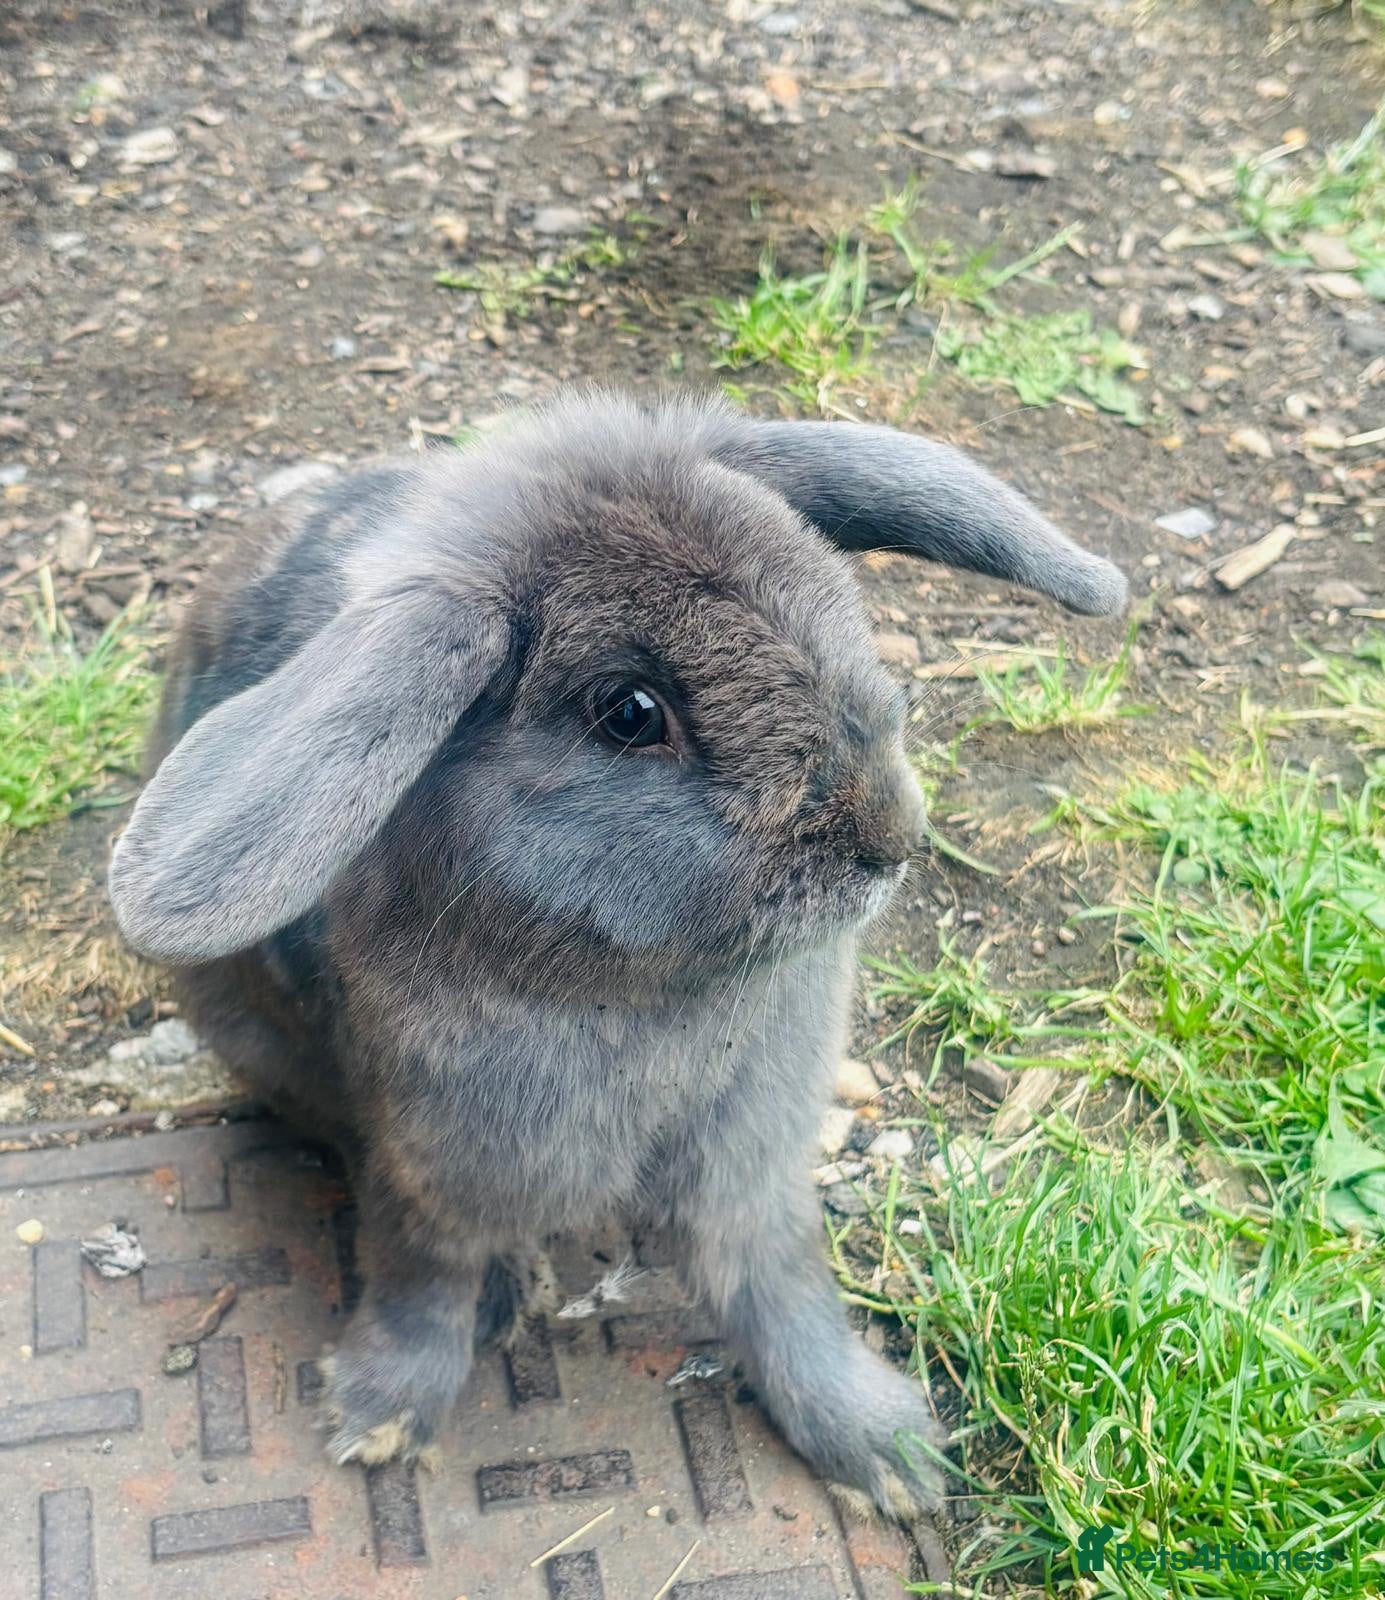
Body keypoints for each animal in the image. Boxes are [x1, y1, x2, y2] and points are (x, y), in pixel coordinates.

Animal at [108, 390, 1125, 1522]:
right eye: (629, 712)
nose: (887, 837)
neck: (649, 996)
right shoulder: (435, 1163)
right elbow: (419, 1279)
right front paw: (378, 1419)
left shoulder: (750, 1172)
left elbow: (782, 1292)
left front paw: (887, 1455)